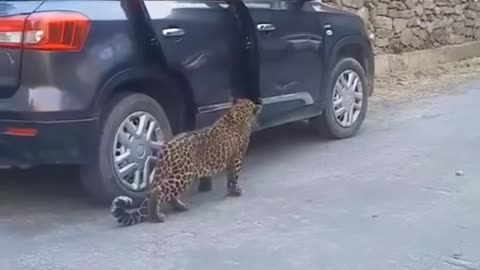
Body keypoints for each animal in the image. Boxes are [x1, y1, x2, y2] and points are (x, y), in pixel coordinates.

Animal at [110, 97, 262, 226]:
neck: (237, 113)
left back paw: (181, 208)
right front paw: (236, 191)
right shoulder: (237, 158)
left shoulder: (231, 160)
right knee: (159, 191)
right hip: (184, 173)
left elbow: (230, 178)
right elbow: (234, 176)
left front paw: (231, 191)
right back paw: (157, 217)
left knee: (169, 194)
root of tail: (166, 147)